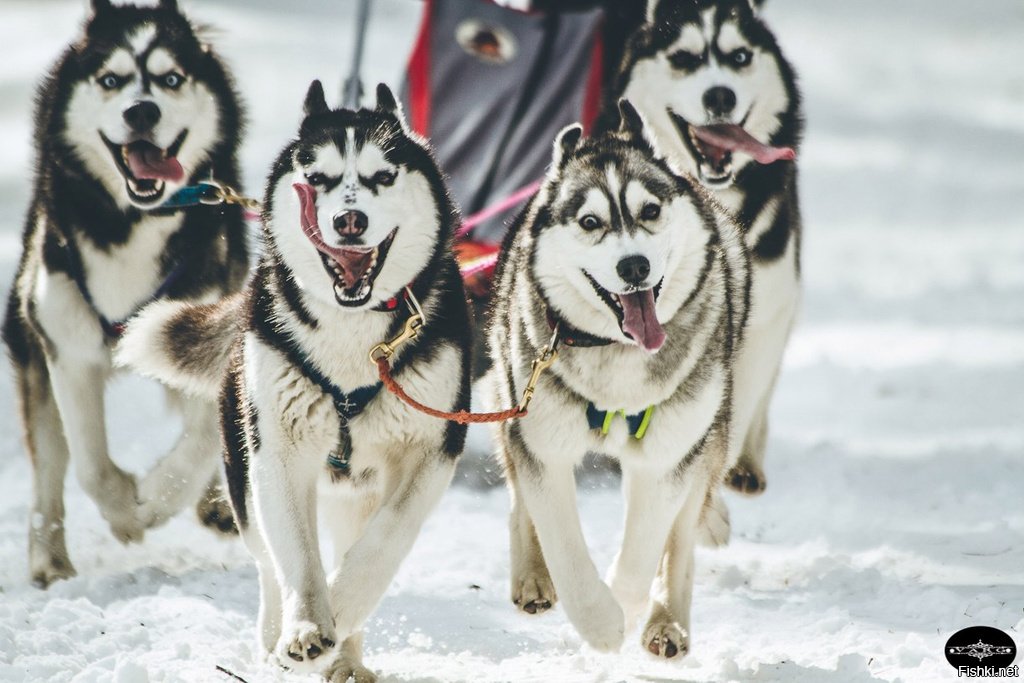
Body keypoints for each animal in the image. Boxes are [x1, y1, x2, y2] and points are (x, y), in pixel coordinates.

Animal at [1, 0, 247, 589]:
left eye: (170, 78)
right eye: (111, 79)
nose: (141, 112)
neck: (132, 223)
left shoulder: (198, 328)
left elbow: (200, 441)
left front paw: (157, 498)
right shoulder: (67, 349)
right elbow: (91, 465)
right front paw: (125, 514)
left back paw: (214, 502)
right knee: (50, 463)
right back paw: (49, 558)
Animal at [118, 82, 468, 679]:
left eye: (382, 176)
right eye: (318, 178)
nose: (349, 221)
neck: (353, 333)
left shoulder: (433, 449)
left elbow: (382, 543)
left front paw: (341, 608)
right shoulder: (277, 454)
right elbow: (298, 559)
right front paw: (305, 626)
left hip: (358, 488)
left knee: (353, 539)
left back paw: (346, 656)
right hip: (242, 465)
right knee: (265, 558)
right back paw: (274, 637)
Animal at [483, 102, 749, 655]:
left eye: (650, 211)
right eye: (591, 221)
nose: (634, 266)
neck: (616, 356)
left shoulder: (668, 457)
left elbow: (645, 549)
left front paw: (624, 612)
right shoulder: (542, 445)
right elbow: (562, 545)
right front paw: (600, 622)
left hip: (707, 437)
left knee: (680, 542)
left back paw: (667, 621)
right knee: (520, 501)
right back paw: (532, 576)